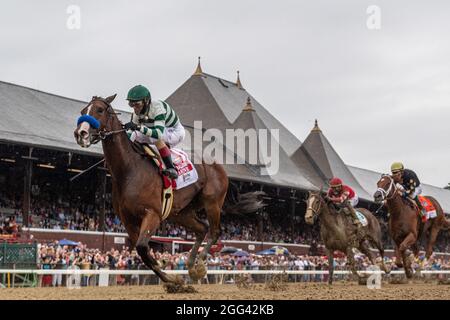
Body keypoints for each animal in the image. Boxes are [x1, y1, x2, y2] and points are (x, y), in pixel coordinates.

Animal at [73, 95, 253, 284]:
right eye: (83, 111)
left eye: (99, 110)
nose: (80, 133)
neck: (128, 169)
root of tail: (220, 168)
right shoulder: (127, 219)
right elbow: (142, 251)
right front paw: (170, 276)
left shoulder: (153, 214)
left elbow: (142, 247)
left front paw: (168, 273)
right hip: (180, 212)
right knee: (202, 229)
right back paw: (191, 265)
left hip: (212, 203)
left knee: (215, 231)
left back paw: (199, 265)